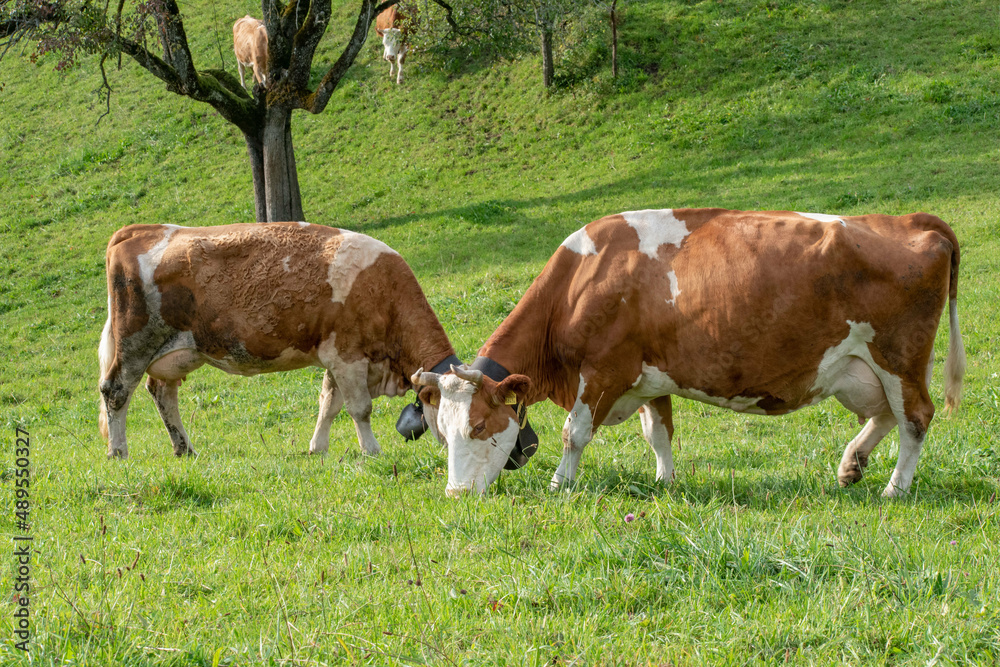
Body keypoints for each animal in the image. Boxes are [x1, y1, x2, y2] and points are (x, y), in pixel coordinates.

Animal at [97, 223, 458, 460]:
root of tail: (140, 229)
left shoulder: (335, 356)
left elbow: (329, 404)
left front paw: (318, 448)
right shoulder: (347, 355)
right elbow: (360, 408)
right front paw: (371, 450)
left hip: (176, 353)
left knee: (162, 392)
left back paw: (184, 449)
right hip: (136, 342)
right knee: (115, 390)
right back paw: (118, 452)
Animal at [410, 207, 964, 496]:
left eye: (479, 426)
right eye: (442, 431)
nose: (456, 494)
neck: (582, 280)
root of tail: (914, 220)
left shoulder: (604, 370)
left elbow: (574, 433)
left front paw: (560, 482)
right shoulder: (649, 375)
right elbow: (658, 432)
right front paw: (665, 480)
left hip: (899, 357)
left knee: (916, 416)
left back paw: (896, 487)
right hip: (858, 369)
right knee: (887, 415)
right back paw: (852, 463)